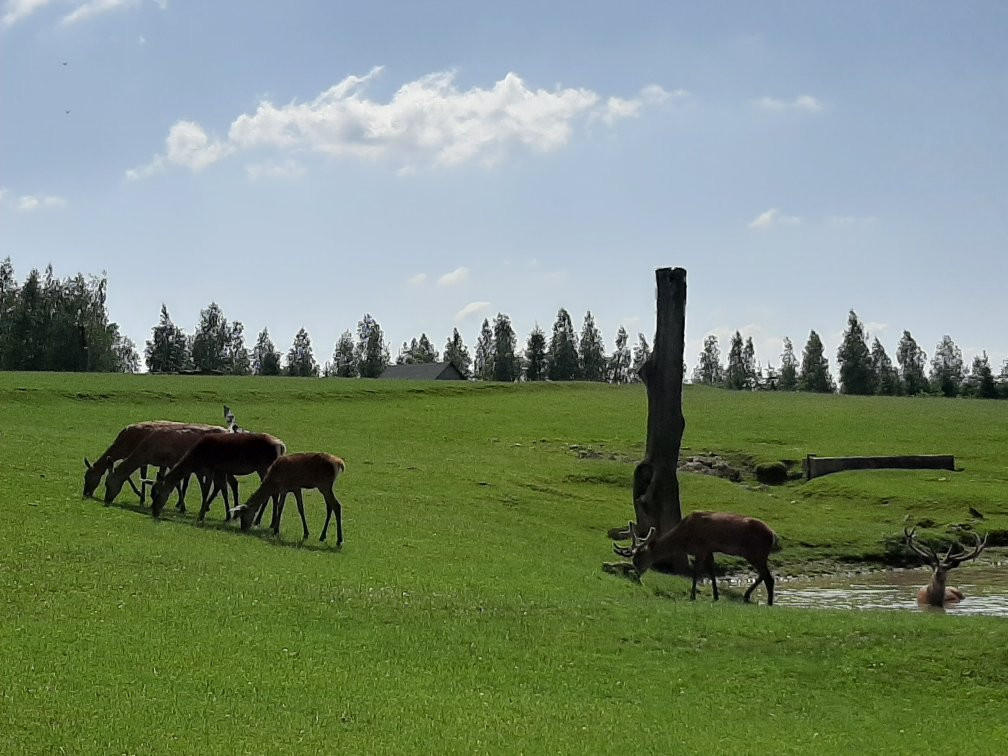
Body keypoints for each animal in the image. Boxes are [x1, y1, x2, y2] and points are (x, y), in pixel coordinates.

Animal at [103, 427, 234, 516]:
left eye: (107, 484)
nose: (106, 500)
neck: (148, 452)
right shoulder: (163, 463)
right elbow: (161, 480)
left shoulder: (171, 461)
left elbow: (177, 485)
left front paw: (182, 507)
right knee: (219, 486)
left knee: (222, 486)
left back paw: (225, 514)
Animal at [149, 431, 286, 520]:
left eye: (157, 493)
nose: (154, 512)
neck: (197, 457)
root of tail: (281, 446)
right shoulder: (219, 469)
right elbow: (222, 489)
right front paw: (227, 515)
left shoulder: (211, 467)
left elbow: (206, 490)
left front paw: (201, 515)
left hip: (264, 466)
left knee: (273, 493)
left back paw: (264, 522)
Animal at [608, 512, 782, 608]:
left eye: (638, 558)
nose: (636, 577)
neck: (685, 539)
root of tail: (773, 535)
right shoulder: (708, 549)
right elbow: (711, 571)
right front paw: (716, 596)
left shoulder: (701, 547)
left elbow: (696, 571)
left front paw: (692, 595)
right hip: (756, 554)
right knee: (764, 574)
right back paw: (747, 596)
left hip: (755, 551)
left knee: (768, 577)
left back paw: (769, 602)